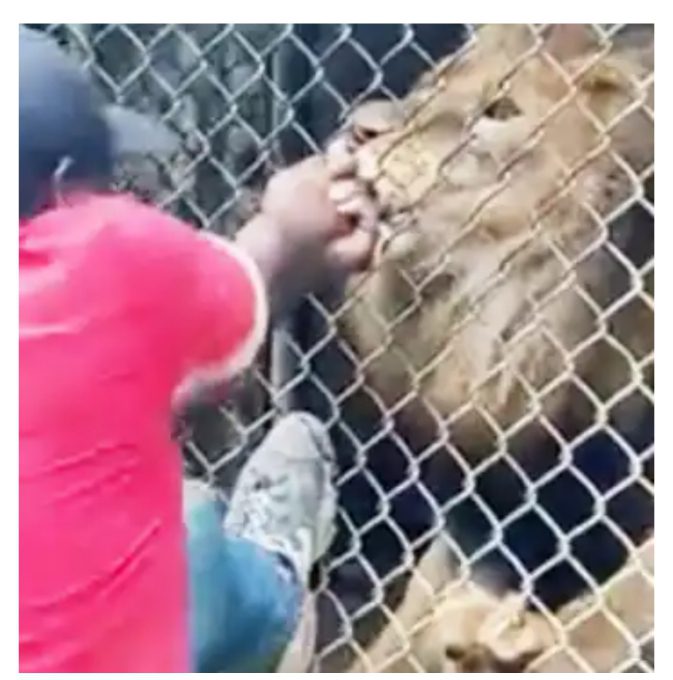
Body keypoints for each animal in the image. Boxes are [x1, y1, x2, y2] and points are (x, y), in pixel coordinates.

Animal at [320, 23, 652, 672]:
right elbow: (407, 625)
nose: (359, 129)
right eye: (431, 82)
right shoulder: (492, 488)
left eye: (501, 111)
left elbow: (621, 607)